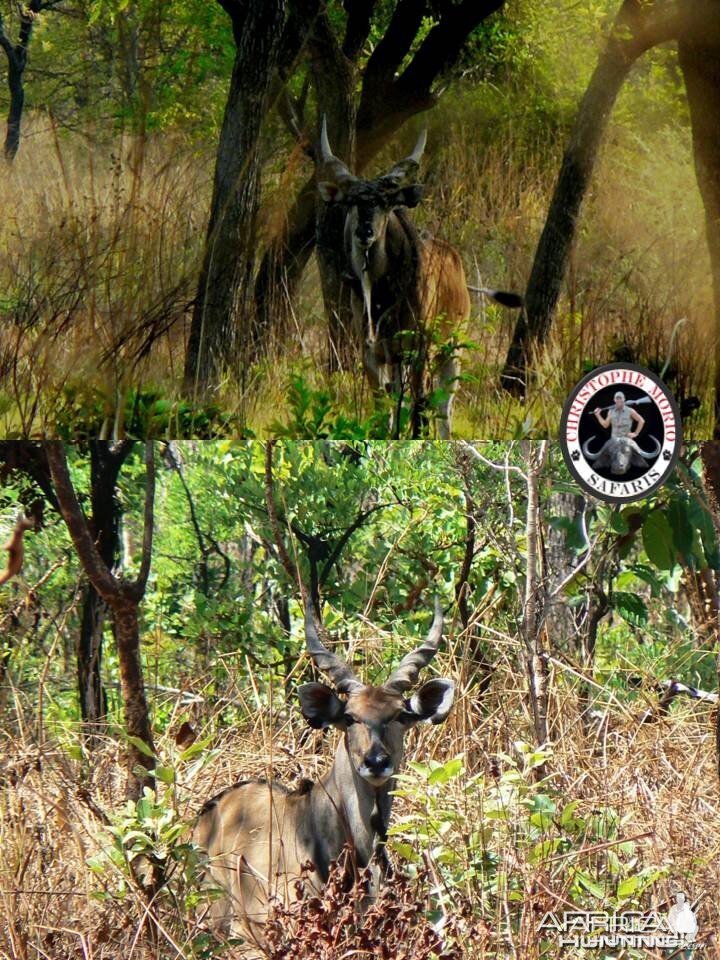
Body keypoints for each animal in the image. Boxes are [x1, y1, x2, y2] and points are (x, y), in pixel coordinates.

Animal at [318, 118, 520, 440]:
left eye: (386, 202)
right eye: (352, 201)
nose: (365, 233)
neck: (381, 298)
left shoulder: (421, 350)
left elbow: (420, 412)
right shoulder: (374, 353)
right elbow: (384, 412)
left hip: (452, 350)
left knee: (443, 408)